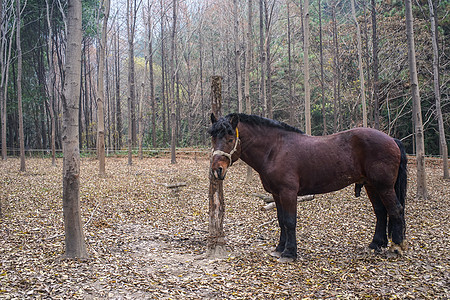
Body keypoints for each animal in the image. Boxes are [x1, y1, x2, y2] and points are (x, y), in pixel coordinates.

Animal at [209, 113, 406, 262]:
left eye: (230, 138)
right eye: (213, 138)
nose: (217, 169)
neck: (275, 149)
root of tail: (392, 139)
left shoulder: (288, 193)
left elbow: (290, 221)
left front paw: (290, 253)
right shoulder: (276, 194)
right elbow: (281, 220)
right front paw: (280, 248)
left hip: (384, 186)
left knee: (395, 209)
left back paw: (396, 247)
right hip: (371, 185)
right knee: (381, 212)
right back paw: (375, 245)